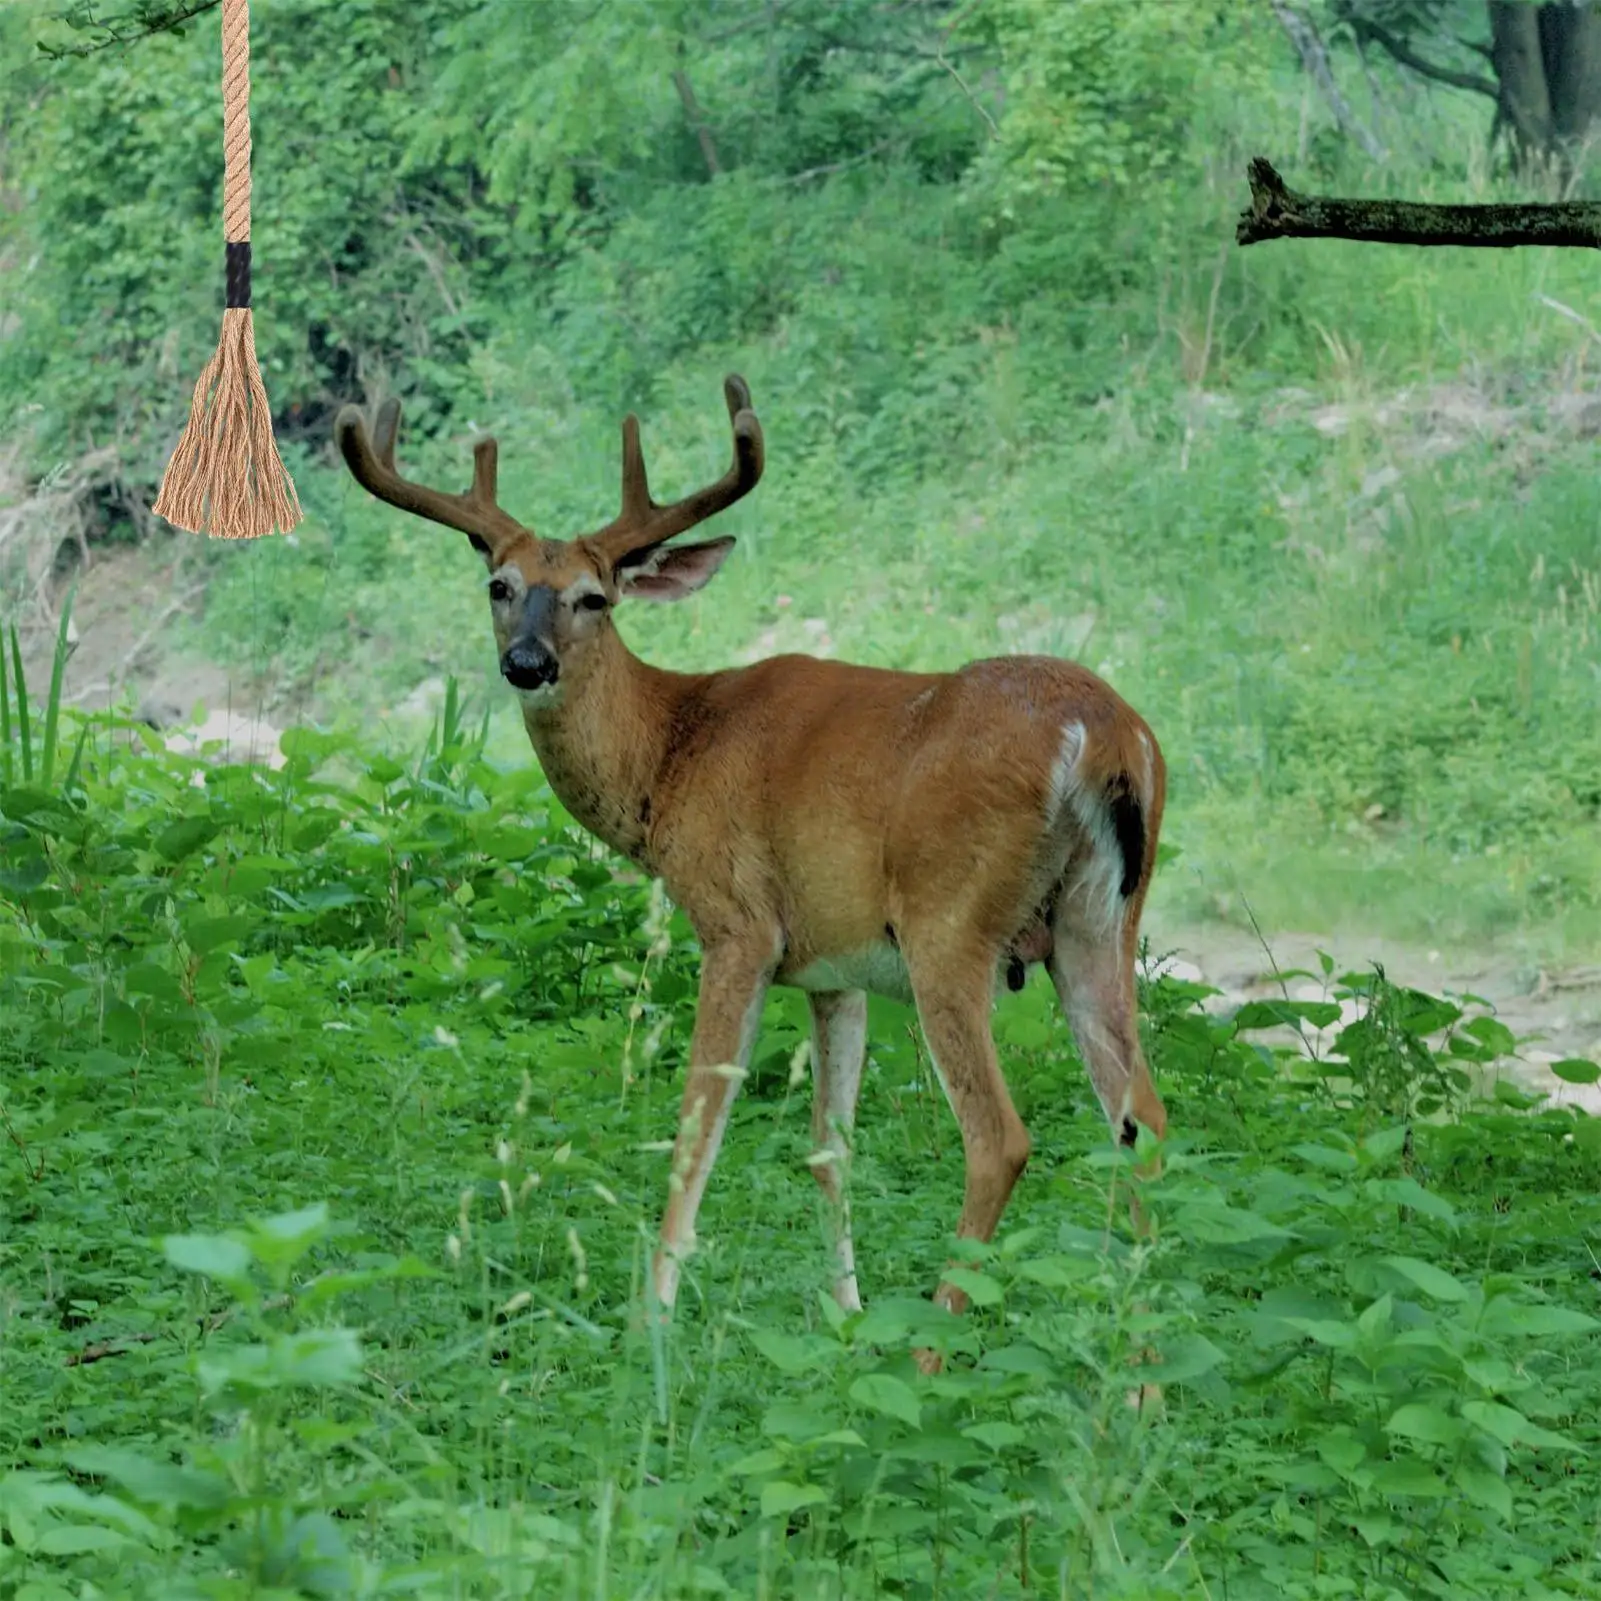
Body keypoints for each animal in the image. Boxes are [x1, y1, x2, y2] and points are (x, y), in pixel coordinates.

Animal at [333, 376, 1168, 1345]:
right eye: (499, 585)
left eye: (594, 597)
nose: (526, 662)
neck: (671, 751)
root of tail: (1103, 735)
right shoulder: (836, 968)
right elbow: (829, 1146)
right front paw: (845, 1314)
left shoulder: (738, 924)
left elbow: (700, 1119)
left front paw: (652, 1310)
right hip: (1099, 921)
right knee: (1141, 1119)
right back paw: (1141, 1359)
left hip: (949, 918)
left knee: (1001, 1138)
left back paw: (933, 1343)